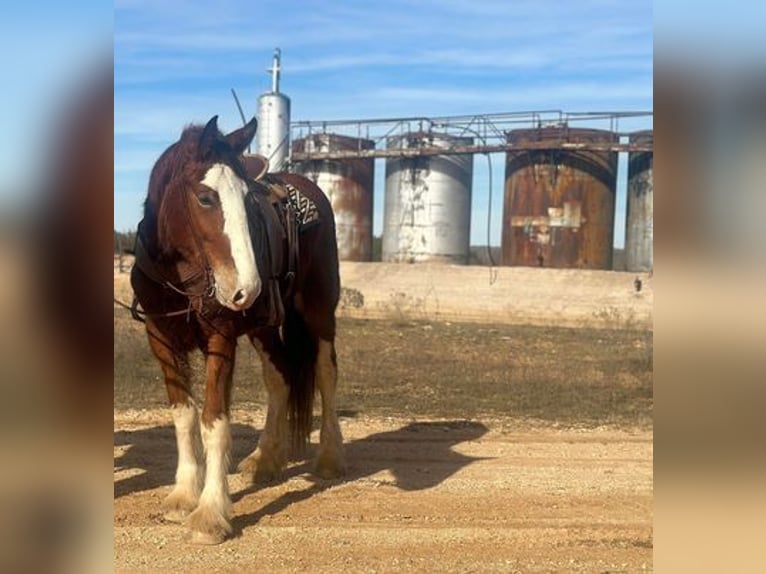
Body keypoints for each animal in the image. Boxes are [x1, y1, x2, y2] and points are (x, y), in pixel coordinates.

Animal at [133, 116, 348, 544]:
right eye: (205, 198)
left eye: (250, 201)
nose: (247, 288)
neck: (176, 274)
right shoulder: (160, 338)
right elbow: (184, 416)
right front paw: (183, 495)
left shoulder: (221, 337)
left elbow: (214, 421)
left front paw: (210, 513)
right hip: (262, 328)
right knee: (280, 377)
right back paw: (266, 459)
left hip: (318, 312)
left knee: (325, 373)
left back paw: (330, 457)